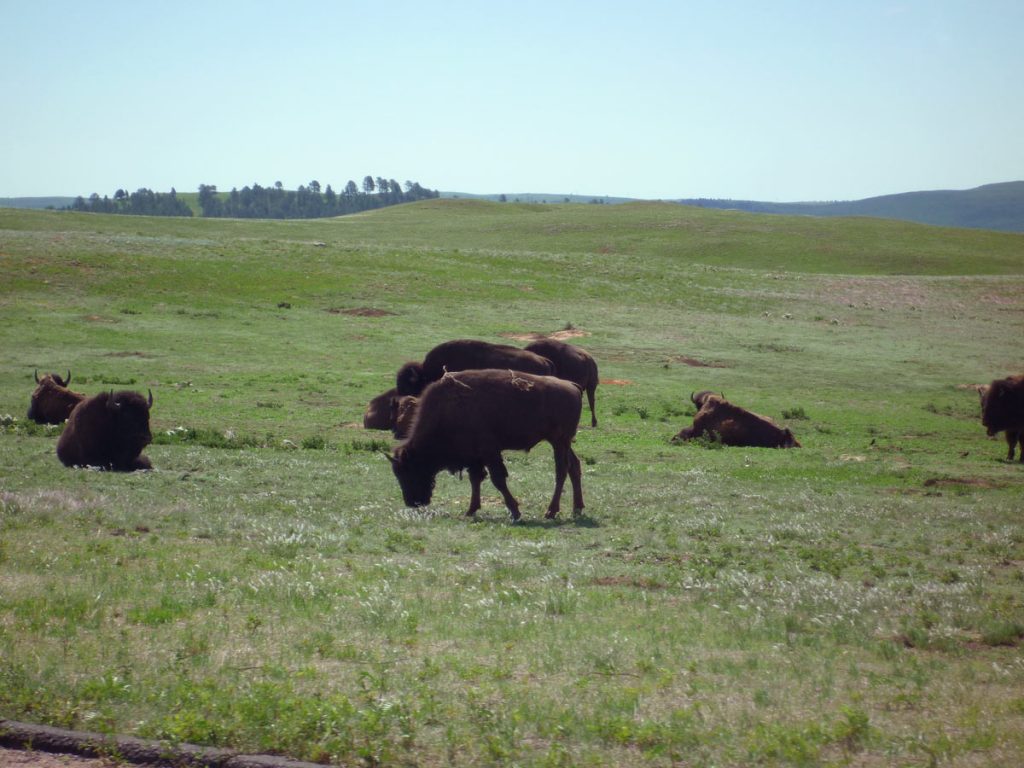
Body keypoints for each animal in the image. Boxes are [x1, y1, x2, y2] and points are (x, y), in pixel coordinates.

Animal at [387, 370, 585, 524]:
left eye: (409, 470)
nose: (412, 502)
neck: (447, 411)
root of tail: (572, 385)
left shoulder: (489, 453)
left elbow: (498, 480)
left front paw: (515, 512)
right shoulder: (475, 458)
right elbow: (475, 480)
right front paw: (471, 510)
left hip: (559, 442)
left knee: (561, 470)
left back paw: (551, 512)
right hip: (563, 443)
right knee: (574, 466)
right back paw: (577, 508)